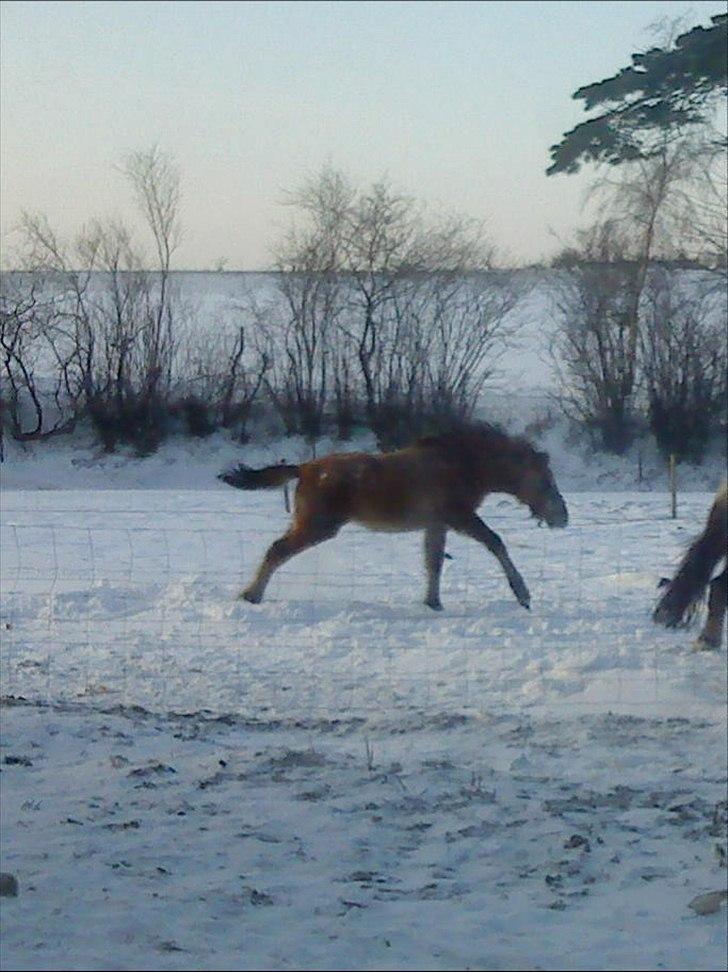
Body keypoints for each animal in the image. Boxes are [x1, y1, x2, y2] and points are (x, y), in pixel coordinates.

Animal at [216, 424, 568, 612]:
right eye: (545, 481)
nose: (562, 517)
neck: (462, 464)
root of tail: (303, 468)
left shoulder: (437, 523)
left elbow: (433, 562)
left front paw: (433, 603)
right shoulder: (459, 516)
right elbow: (496, 543)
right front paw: (523, 595)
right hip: (317, 525)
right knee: (277, 550)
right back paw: (251, 595)